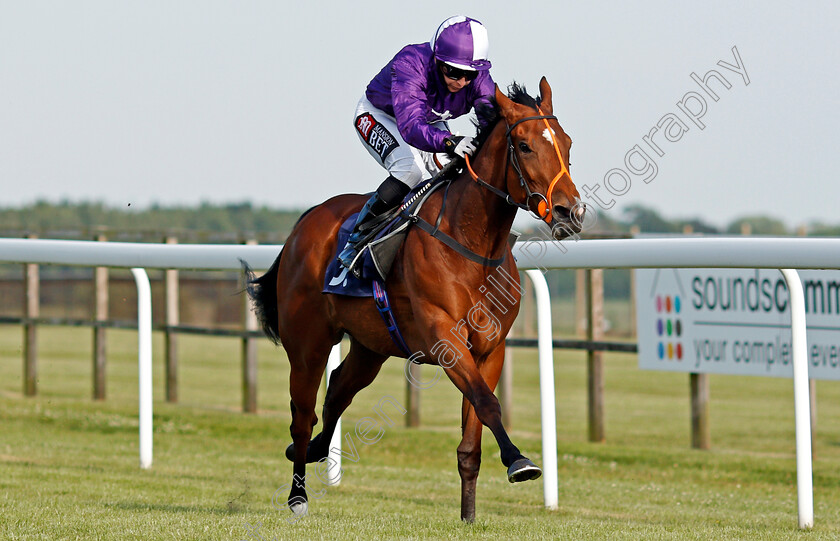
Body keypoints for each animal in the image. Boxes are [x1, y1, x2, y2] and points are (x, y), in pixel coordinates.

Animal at [246, 78, 580, 520]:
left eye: (567, 142)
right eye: (524, 146)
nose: (570, 211)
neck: (472, 243)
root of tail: (304, 223)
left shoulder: (490, 350)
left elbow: (473, 432)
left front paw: (468, 515)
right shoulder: (446, 339)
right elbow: (488, 403)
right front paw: (518, 461)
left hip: (371, 345)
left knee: (338, 391)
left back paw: (317, 450)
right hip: (307, 343)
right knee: (303, 414)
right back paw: (297, 496)